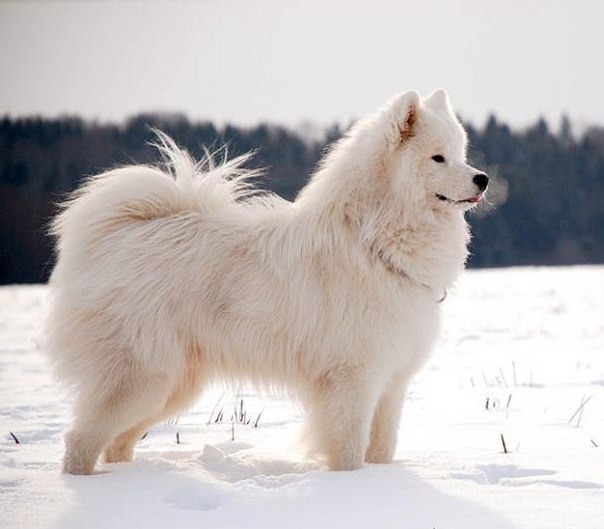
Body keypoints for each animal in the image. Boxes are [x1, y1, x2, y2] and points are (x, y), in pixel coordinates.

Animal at [46, 88, 486, 472]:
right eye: (438, 158)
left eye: (461, 155)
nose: (482, 178)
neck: (372, 241)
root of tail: (117, 236)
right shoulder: (352, 379)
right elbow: (349, 448)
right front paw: (350, 486)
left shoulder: (392, 381)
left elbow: (383, 447)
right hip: (142, 378)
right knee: (81, 440)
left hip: (173, 385)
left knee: (117, 442)